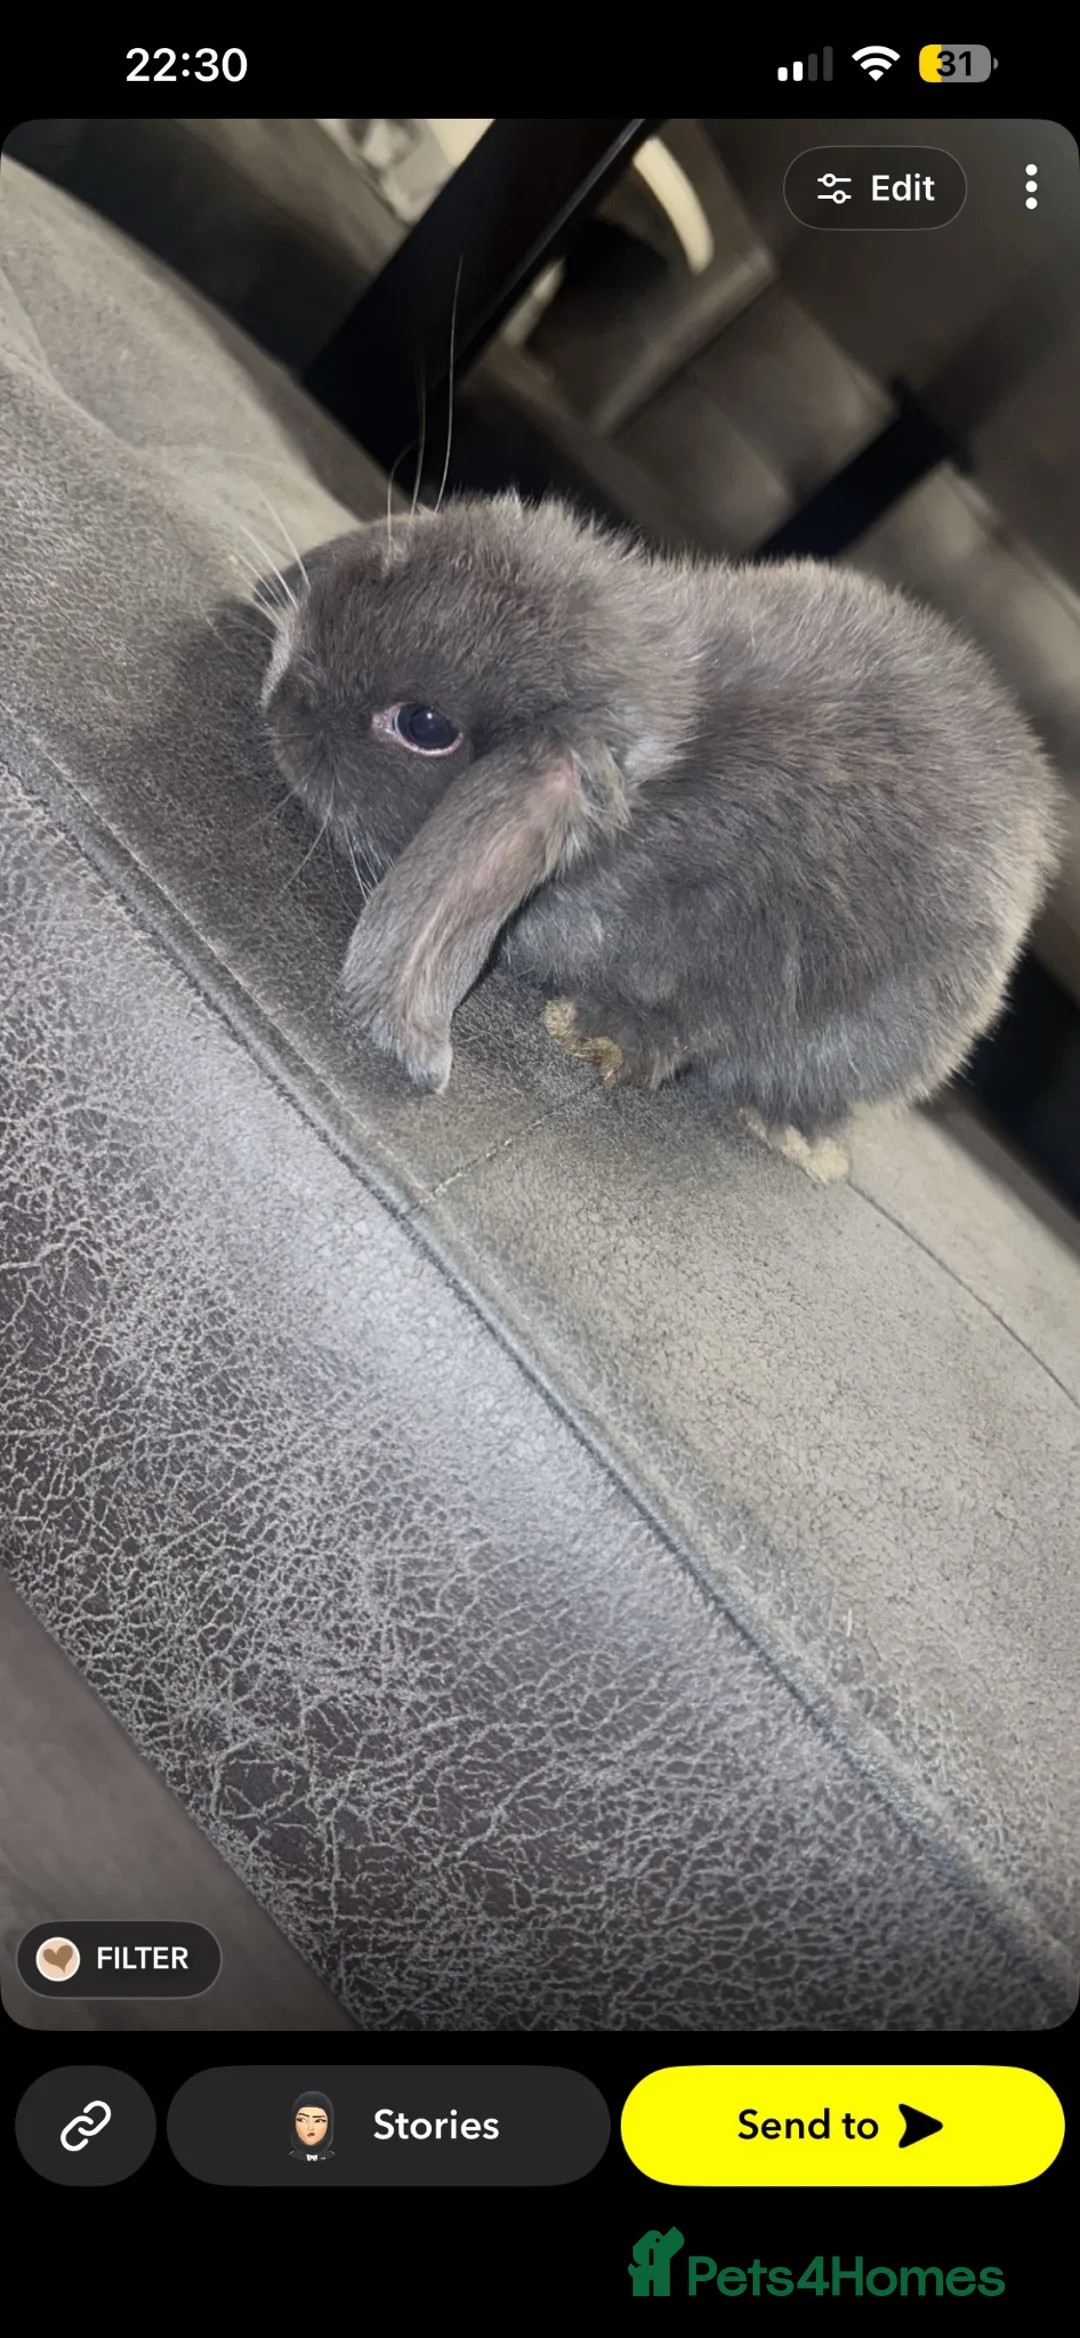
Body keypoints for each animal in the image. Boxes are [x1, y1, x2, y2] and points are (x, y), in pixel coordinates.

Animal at [262, 492, 1063, 1178]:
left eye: (425, 726)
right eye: (383, 563)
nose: (278, 693)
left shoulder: (754, 962)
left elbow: (701, 1023)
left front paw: (597, 1035)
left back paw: (791, 1134)